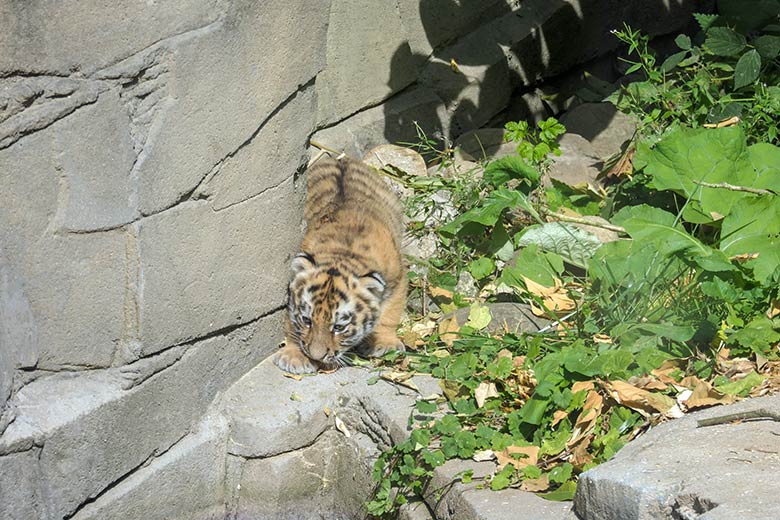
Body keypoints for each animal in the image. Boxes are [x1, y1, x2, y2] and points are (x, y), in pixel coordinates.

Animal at [272, 157, 407, 374]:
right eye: (307, 320)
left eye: (338, 327)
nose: (316, 355)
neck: (343, 254)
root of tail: (339, 158)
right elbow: (291, 324)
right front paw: (294, 356)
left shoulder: (398, 278)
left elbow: (390, 313)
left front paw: (385, 343)